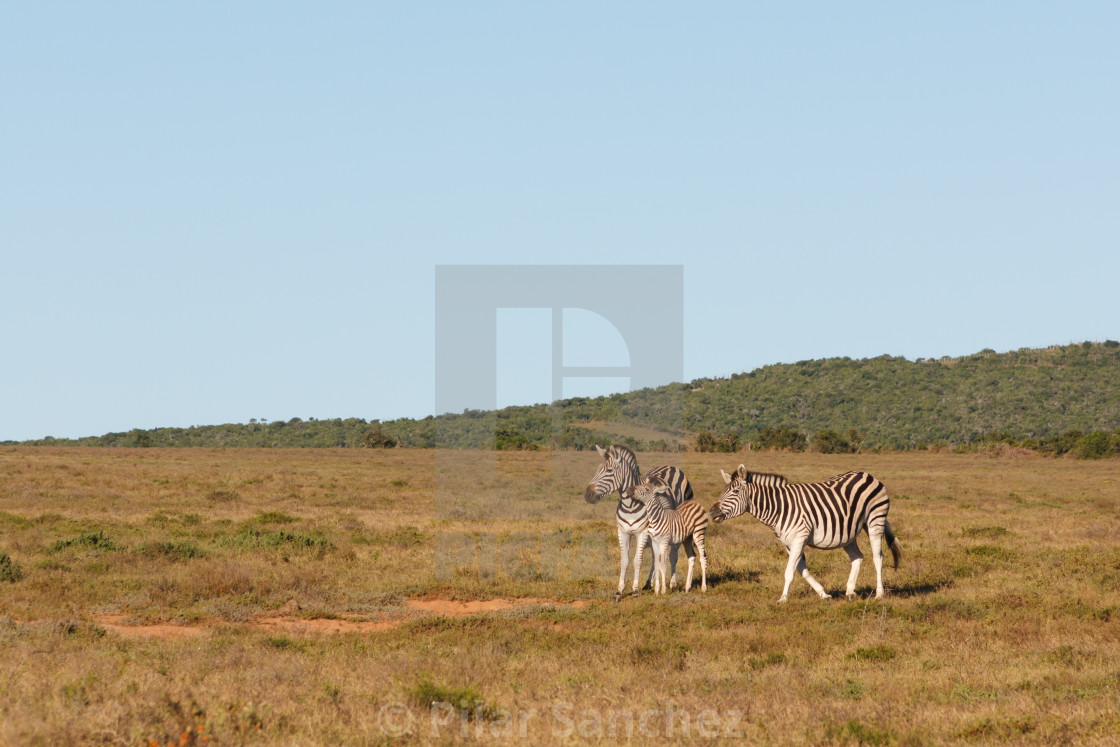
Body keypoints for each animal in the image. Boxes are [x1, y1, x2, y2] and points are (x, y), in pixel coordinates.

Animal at [586, 443, 689, 600]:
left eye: (609, 471)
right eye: (597, 469)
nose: (587, 495)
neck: (630, 505)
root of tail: (671, 466)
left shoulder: (642, 533)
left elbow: (637, 561)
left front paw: (634, 591)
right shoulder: (623, 532)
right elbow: (624, 561)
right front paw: (619, 591)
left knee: (672, 555)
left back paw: (672, 583)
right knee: (655, 556)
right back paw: (649, 583)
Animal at [707, 470, 900, 604]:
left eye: (735, 491)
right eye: (723, 491)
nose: (711, 511)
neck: (779, 508)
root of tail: (868, 475)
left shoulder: (799, 538)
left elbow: (789, 571)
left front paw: (783, 599)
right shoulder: (788, 543)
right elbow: (802, 570)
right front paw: (824, 594)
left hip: (875, 521)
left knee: (877, 558)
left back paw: (879, 594)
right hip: (847, 533)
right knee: (857, 557)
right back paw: (850, 592)